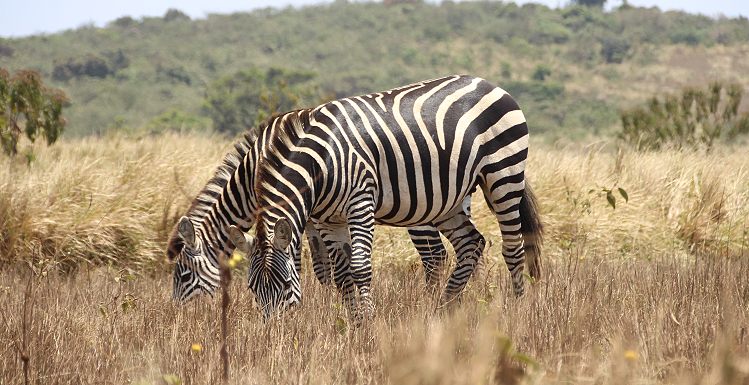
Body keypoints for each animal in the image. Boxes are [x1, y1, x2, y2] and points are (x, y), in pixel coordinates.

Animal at [164, 122, 480, 300]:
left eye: (183, 276)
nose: (179, 315)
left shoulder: (305, 215)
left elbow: (309, 264)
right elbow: (323, 265)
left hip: (423, 213)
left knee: (434, 255)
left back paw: (431, 301)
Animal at [243, 73, 540, 320]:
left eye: (284, 284)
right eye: (252, 288)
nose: (274, 331)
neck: (321, 162)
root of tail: (487, 83)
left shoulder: (360, 201)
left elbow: (360, 268)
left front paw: (368, 322)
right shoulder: (328, 219)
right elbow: (341, 274)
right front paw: (354, 323)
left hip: (504, 173)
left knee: (513, 248)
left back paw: (517, 311)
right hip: (450, 199)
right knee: (471, 243)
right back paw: (442, 309)